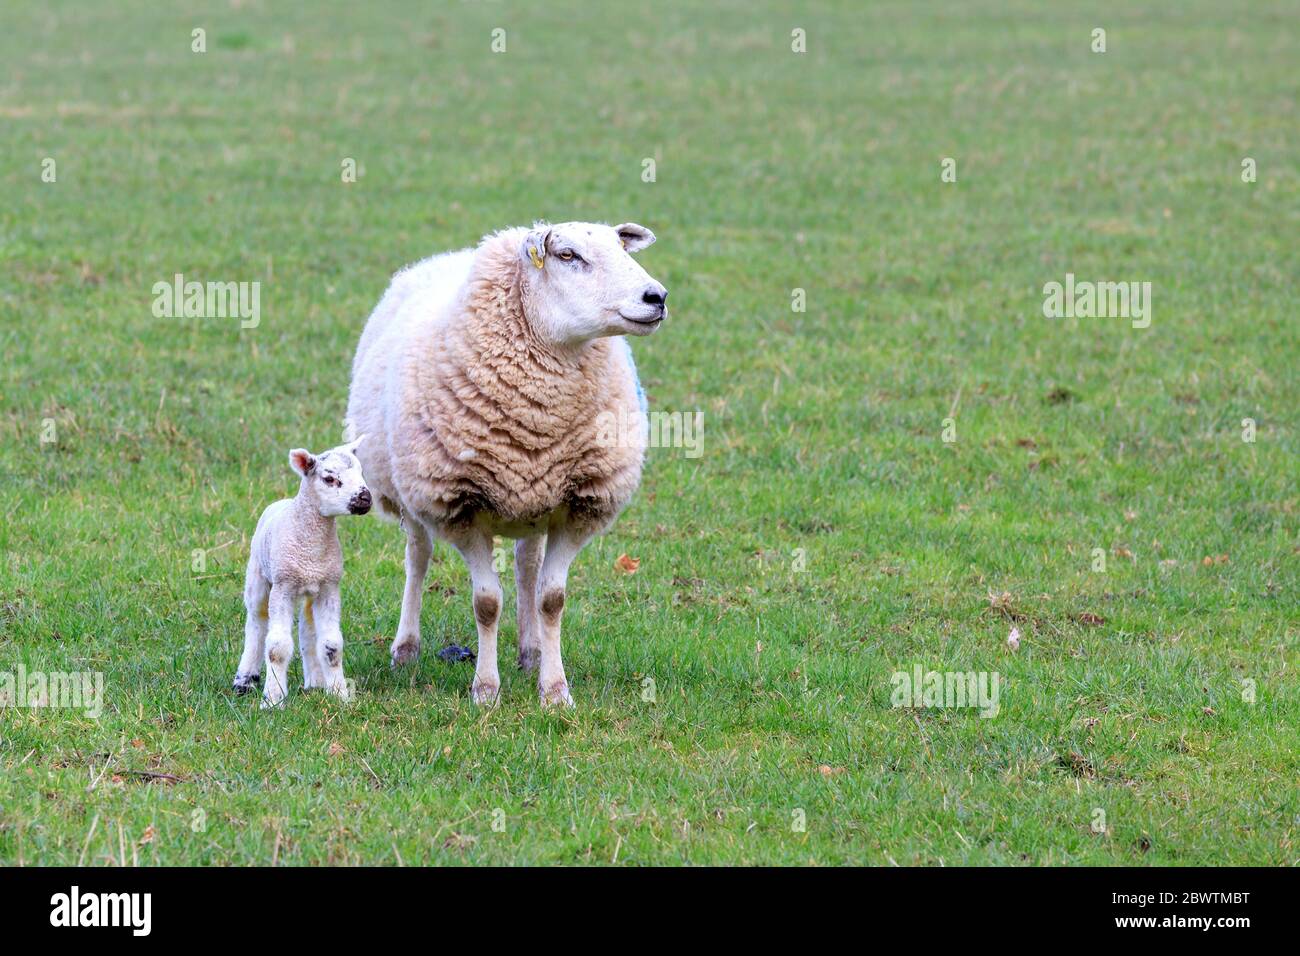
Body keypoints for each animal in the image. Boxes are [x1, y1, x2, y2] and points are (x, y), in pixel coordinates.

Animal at [233, 437, 374, 707]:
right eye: (329, 478)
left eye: (362, 472)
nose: (365, 498)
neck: (311, 548)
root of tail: (282, 502)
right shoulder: (283, 586)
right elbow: (277, 648)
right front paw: (273, 699)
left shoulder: (329, 586)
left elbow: (332, 645)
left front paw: (339, 694)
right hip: (258, 575)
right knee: (256, 623)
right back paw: (244, 680)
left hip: (311, 590)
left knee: (307, 629)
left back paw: (315, 682)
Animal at [345, 221, 670, 707]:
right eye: (568, 255)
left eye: (621, 248)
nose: (657, 297)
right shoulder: (458, 505)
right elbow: (486, 603)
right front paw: (485, 690)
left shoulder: (580, 504)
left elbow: (551, 598)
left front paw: (555, 690)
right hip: (409, 491)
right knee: (418, 557)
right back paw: (406, 648)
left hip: (535, 502)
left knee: (526, 566)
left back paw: (531, 649)